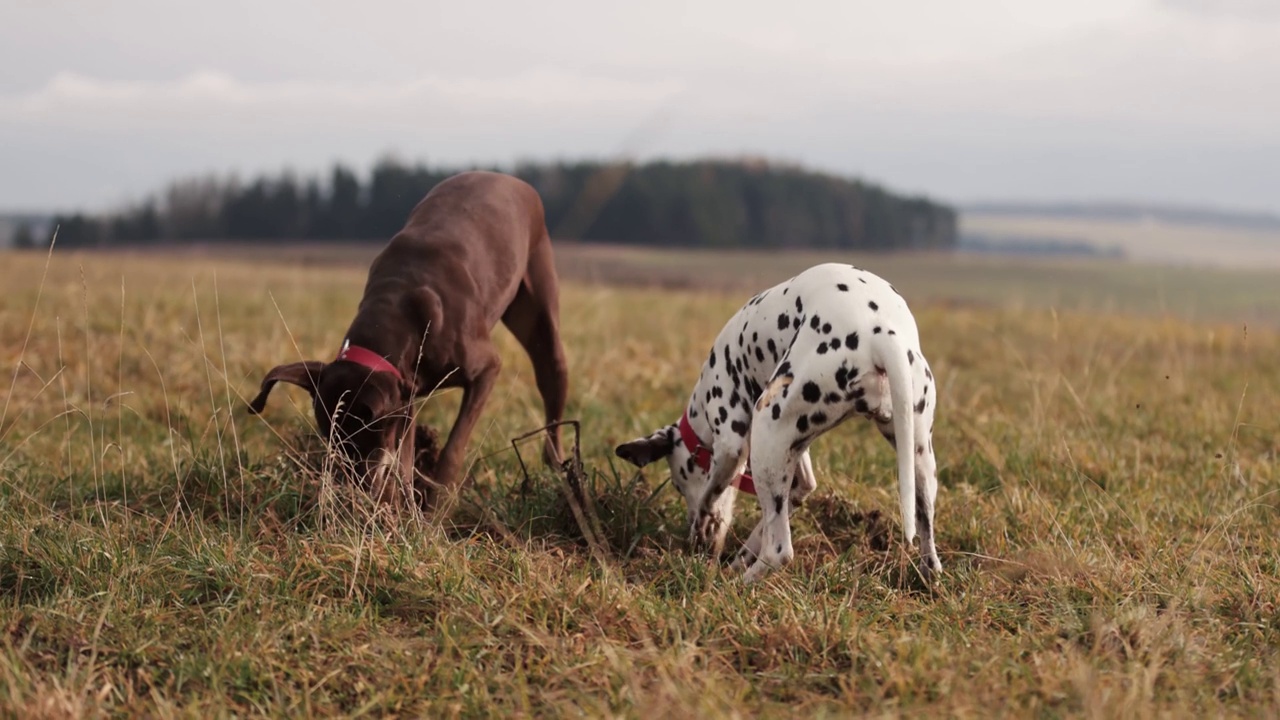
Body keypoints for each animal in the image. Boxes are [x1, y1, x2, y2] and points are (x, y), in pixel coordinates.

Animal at [247, 171, 568, 509]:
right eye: (333, 441)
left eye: (359, 441)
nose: (354, 493)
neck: (396, 308)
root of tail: (510, 178)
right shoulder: (406, 394)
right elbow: (403, 460)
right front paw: (401, 508)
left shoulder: (485, 369)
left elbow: (453, 448)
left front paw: (435, 508)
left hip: (541, 312)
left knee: (552, 385)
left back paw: (558, 467)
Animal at [616, 260, 942, 579]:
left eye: (678, 485)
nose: (700, 547)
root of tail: (880, 334)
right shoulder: (797, 479)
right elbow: (766, 524)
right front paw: (737, 557)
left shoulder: (731, 447)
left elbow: (711, 499)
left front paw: (703, 533)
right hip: (918, 459)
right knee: (927, 538)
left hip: (766, 431)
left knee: (779, 551)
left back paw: (735, 585)